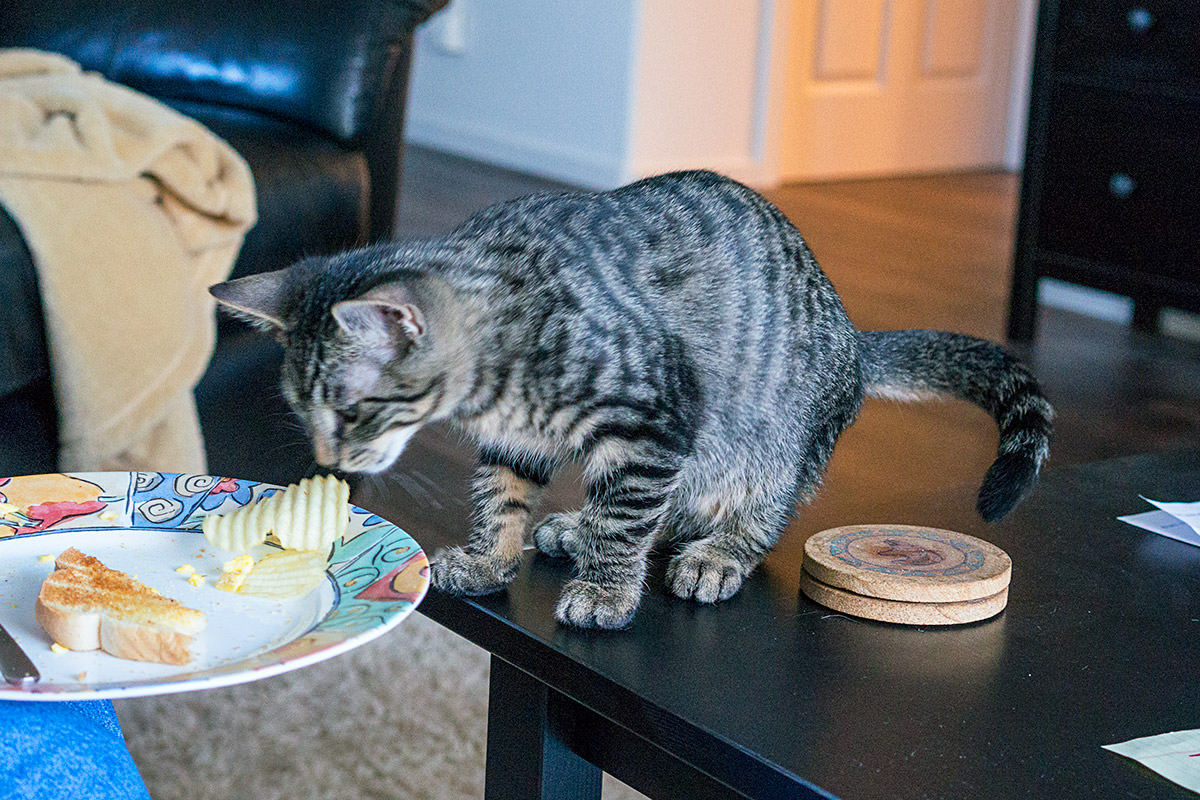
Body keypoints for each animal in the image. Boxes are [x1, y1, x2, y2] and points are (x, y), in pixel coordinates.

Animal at [213, 170, 1051, 633]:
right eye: (304, 411)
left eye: (351, 410)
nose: (331, 457)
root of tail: (853, 337)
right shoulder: (519, 439)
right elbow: (501, 496)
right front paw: (491, 557)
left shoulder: (651, 423)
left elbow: (627, 518)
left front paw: (608, 591)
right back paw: (575, 528)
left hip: (771, 443)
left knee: (749, 511)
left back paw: (714, 555)